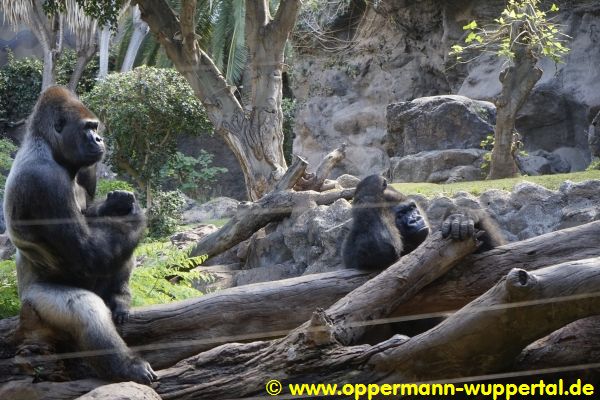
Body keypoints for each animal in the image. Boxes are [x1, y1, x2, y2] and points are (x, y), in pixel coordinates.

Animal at [3, 86, 157, 382]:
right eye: (88, 128)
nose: (99, 138)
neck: (47, 146)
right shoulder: (44, 181)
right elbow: (87, 250)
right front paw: (134, 212)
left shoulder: (87, 171)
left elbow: (95, 226)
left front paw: (116, 203)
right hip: (33, 303)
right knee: (87, 308)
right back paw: (127, 366)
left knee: (121, 250)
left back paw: (119, 297)